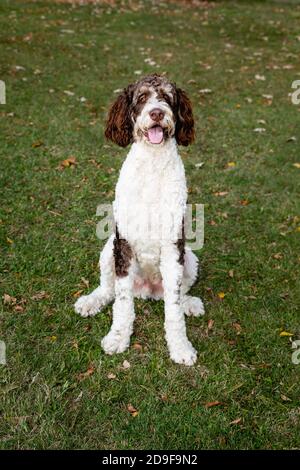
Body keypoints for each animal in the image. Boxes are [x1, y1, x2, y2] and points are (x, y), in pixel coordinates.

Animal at [75, 74, 206, 368]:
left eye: (167, 97)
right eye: (142, 97)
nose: (157, 113)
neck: (152, 167)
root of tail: (146, 289)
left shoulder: (173, 246)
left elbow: (173, 308)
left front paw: (180, 346)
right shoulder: (123, 243)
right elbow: (122, 301)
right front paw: (118, 337)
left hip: (189, 258)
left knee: (178, 293)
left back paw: (189, 303)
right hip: (108, 250)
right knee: (108, 289)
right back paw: (91, 301)